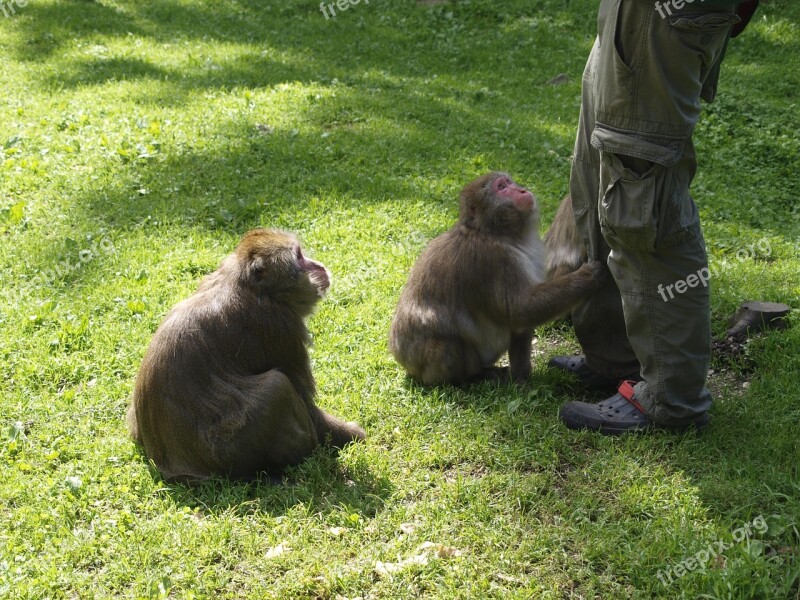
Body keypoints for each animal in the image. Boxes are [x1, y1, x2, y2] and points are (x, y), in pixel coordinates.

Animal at [128, 229, 366, 482]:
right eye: (299, 257)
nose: (318, 266)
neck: (250, 288)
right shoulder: (278, 326)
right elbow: (305, 399)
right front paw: (353, 435)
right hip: (230, 452)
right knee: (277, 386)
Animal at [390, 171, 608, 386]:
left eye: (509, 182)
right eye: (501, 187)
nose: (521, 190)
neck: (495, 232)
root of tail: (403, 361)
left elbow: (521, 319)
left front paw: (521, 378)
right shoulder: (493, 259)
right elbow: (520, 308)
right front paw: (587, 277)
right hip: (428, 364)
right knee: (447, 346)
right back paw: (471, 377)